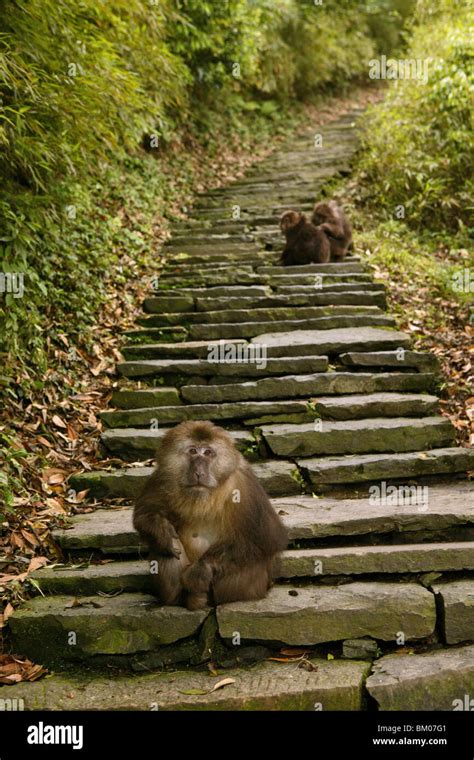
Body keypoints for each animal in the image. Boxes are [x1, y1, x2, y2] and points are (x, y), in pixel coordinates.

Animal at [134, 422, 288, 612]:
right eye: (193, 451)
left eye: (208, 452)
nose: (199, 472)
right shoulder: (162, 477)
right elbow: (143, 514)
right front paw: (161, 529)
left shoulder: (245, 485)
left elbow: (268, 539)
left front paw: (200, 571)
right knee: (164, 548)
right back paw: (184, 598)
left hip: (248, 588)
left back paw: (199, 594)